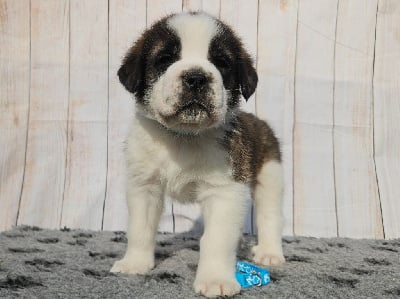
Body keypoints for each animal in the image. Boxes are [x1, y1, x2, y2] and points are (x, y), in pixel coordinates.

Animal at [109, 11, 284, 298]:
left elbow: (216, 238)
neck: (184, 136)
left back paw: (270, 252)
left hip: (270, 174)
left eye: (221, 63)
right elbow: (139, 228)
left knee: (270, 214)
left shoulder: (225, 191)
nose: (196, 77)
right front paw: (135, 263)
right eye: (165, 59)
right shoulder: (144, 186)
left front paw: (215, 280)